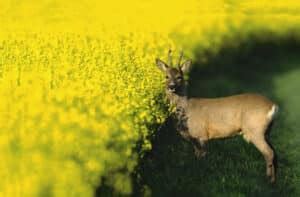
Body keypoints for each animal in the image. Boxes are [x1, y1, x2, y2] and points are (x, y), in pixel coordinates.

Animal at [157, 49, 278, 183]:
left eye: (180, 77)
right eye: (166, 76)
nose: (171, 86)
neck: (187, 109)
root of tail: (273, 106)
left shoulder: (201, 134)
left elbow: (202, 158)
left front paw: (201, 177)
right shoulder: (194, 139)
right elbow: (196, 157)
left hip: (255, 130)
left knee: (269, 153)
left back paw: (269, 180)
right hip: (266, 131)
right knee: (274, 152)